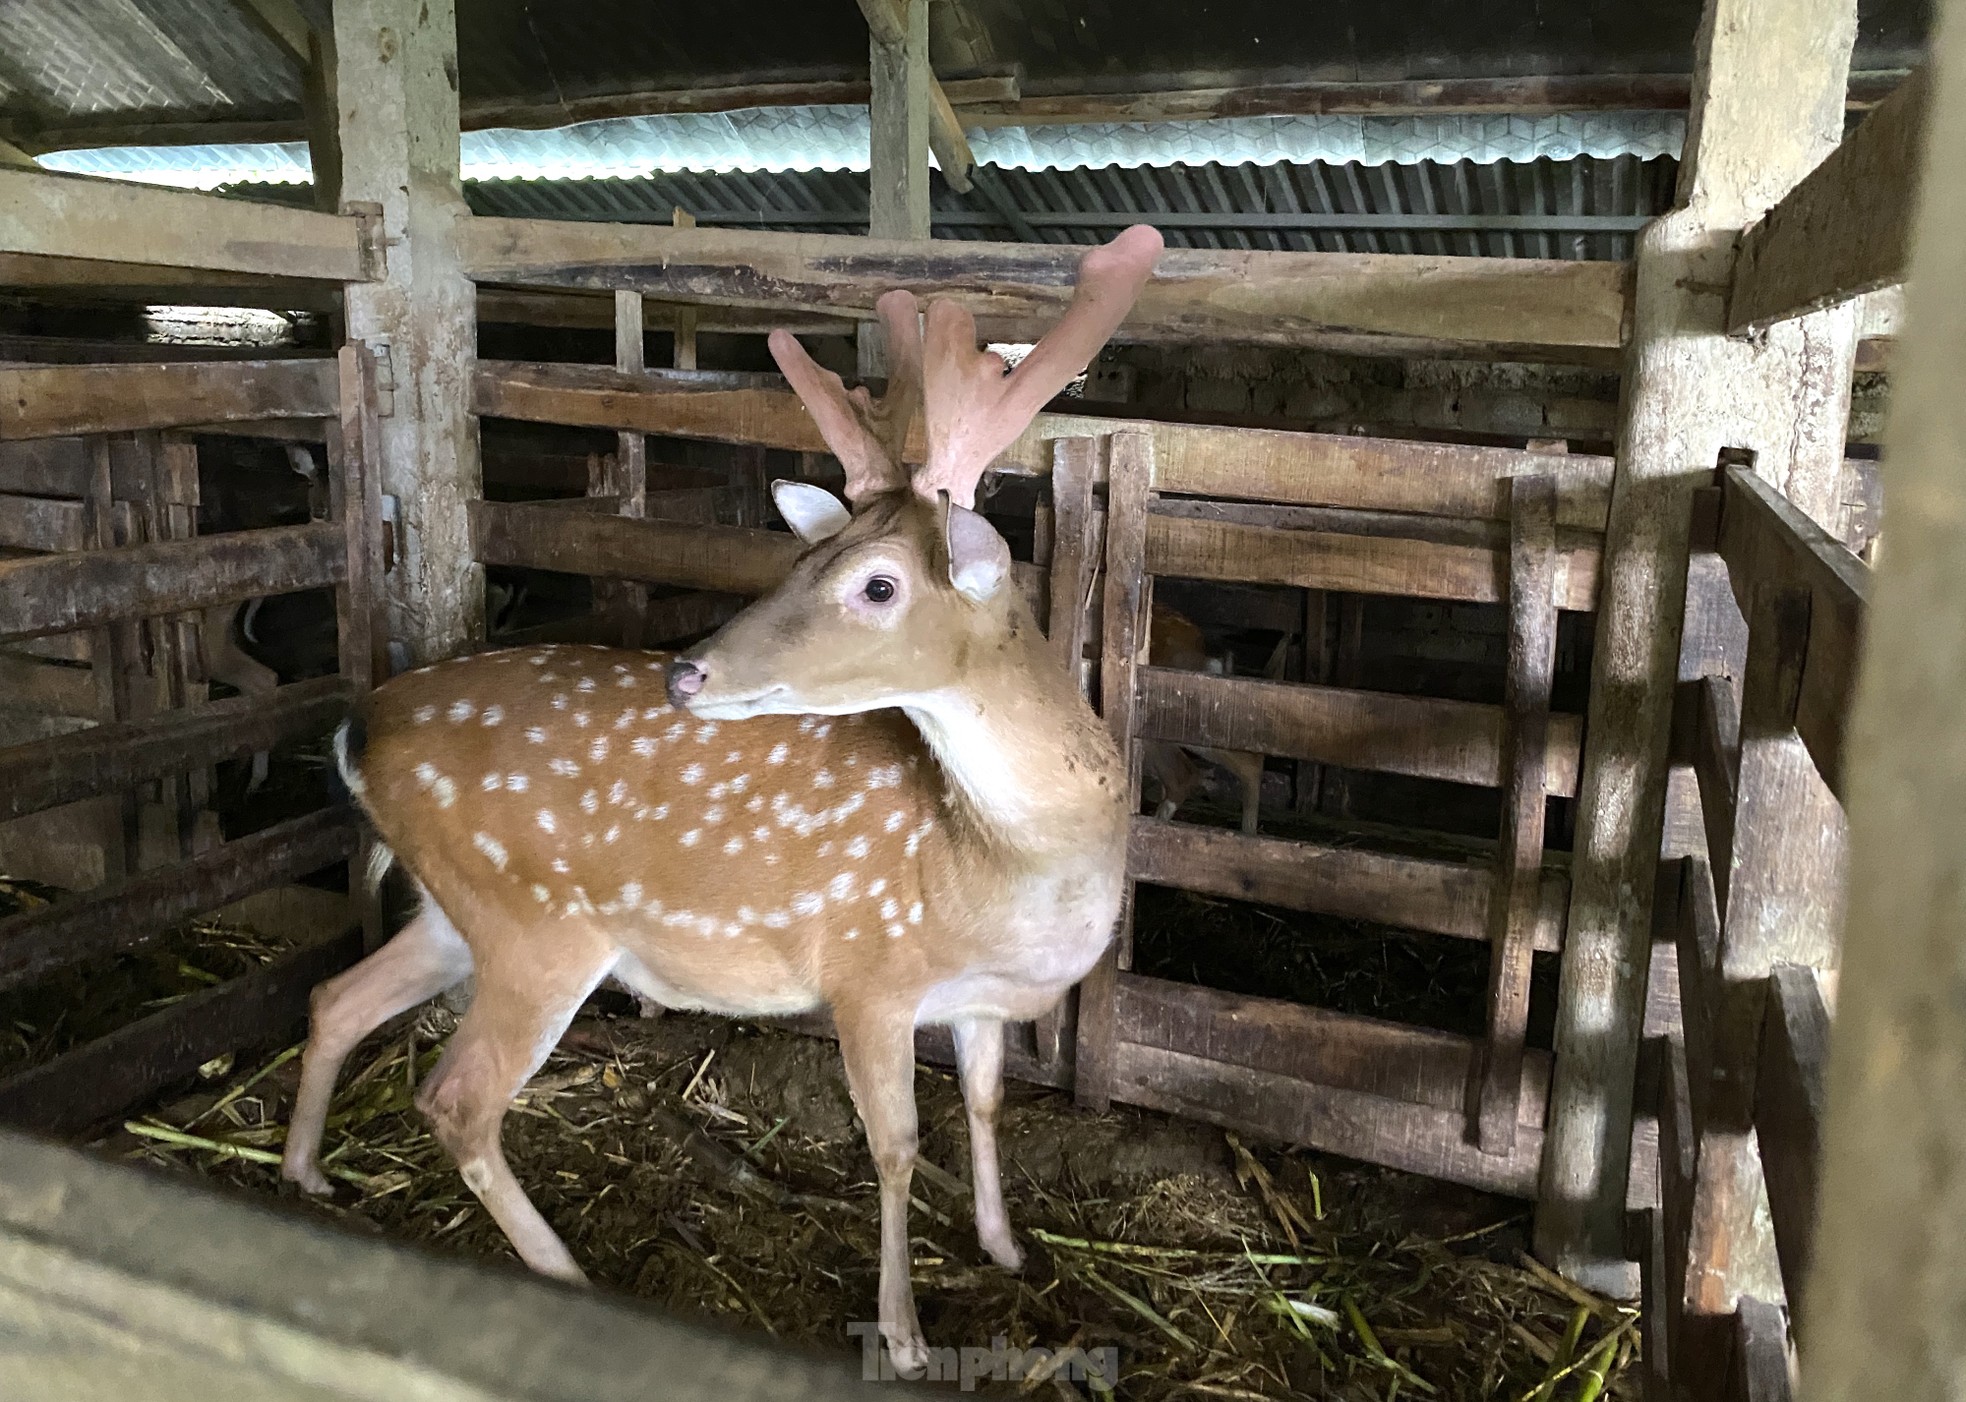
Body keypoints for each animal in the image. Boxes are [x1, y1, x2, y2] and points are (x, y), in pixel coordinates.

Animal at [285, 224, 1156, 1376]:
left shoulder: (974, 1001)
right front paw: (905, 1336)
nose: (687, 671)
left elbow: (982, 1103)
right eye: (803, 554)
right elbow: (893, 1146)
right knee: (457, 1098)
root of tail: (358, 731)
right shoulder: (866, 968)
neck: (1002, 871)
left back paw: (304, 1172)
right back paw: (564, 1271)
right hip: (535, 924)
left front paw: (1006, 1248)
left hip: (453, 906)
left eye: (877, 583)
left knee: (335, 997)